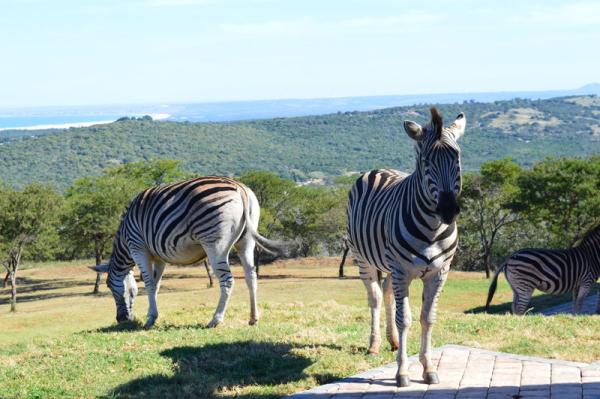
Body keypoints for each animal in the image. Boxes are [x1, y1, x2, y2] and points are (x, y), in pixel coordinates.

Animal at [90, 177, 288, 330]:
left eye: (109, 286)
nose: (120, 320)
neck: (124, 240)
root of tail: (240, 188)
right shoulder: (159, 257)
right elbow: (156, 284)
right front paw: (153, 315)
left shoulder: (138, 247)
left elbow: (148, 283)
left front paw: (149, 320)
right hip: (246, 241)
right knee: (251, 275)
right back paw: (253, 318)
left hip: (214, 243)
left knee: (227, 280)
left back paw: (215, 320)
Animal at [344, 108, 466, 390]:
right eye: (425, 161)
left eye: (456, 157)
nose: (448, 211)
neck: (432, 229)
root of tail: (378, 169)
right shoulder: (402, 271)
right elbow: (405, 319)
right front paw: (402, 373)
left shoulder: (439, 273)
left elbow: (427, 318)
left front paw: (428, 368)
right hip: (362, 258)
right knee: (376, 297)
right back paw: (375, 345)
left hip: (389, 264)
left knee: (387, 291)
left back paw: (393, 341)